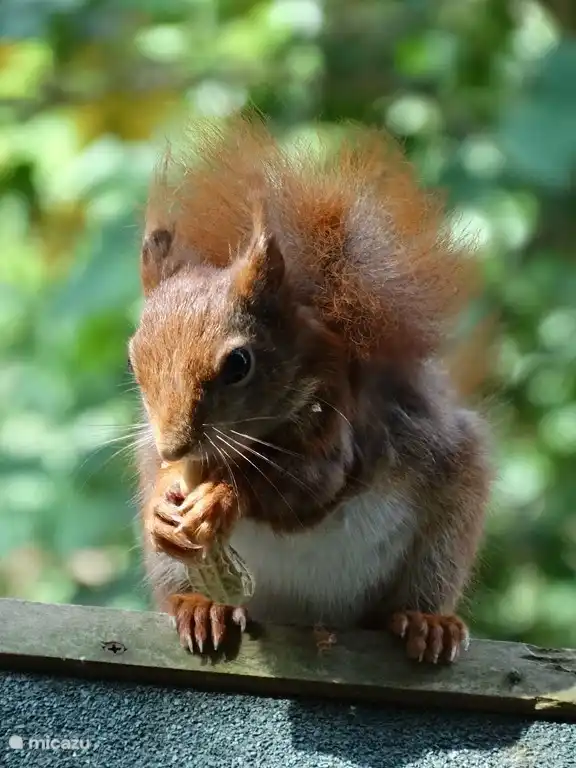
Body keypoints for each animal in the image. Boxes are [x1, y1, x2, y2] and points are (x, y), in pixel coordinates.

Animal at [129, 115, 492, 664]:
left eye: (239, 364)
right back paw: (201, 606)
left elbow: (306, 488)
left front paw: (222, 497)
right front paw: (161, 506)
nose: (173, 447)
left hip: (446, 531)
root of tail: (309, 615)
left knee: (416, 594)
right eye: (134, 356)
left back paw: (426, 623)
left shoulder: (341, 430)